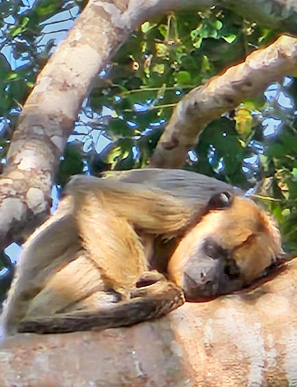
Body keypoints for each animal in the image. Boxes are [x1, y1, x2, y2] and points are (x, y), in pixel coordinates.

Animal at [0, 170, 282, 336]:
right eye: (212, 250)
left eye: (230, 271)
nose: (208, 279)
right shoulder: (189, 200)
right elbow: (93, 192)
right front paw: (139, 293)